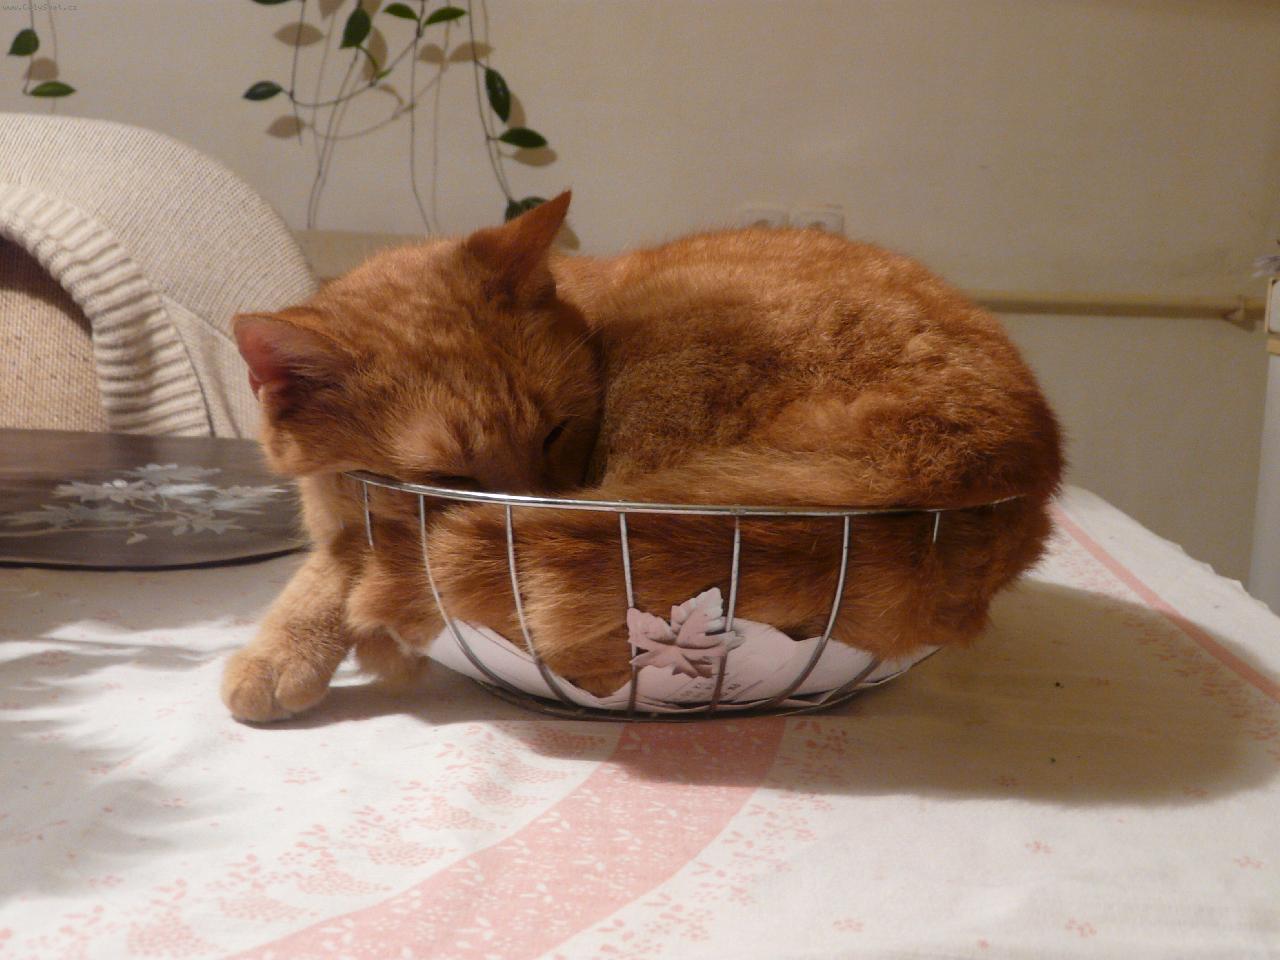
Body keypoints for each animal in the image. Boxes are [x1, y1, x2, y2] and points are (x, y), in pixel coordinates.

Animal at [222, 191, 1063, 721]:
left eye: (558, 431)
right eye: (447, 477)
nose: (532, 502)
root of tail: (1007, 445)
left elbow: (343, 565)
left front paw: (286, 649)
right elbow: (334, 559)